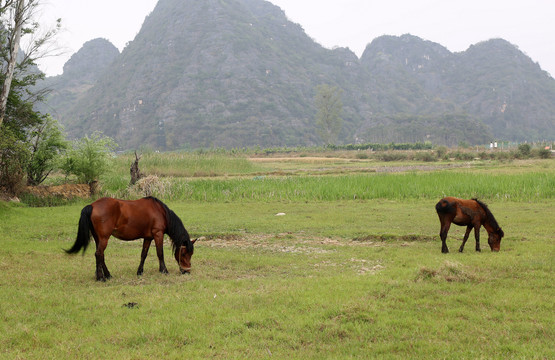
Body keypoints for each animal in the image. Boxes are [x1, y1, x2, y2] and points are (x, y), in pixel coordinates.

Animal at [66, 197, 197, 282]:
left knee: (101, 255)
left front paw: (139, 272)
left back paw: (107, 275)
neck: (161, 212)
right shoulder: (158, 234)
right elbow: (160, 253)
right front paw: (164, 271)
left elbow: (144, 254)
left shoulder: (148, 237)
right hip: (104, 238)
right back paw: (101, 278)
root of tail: (92, 206)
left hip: (98, 238)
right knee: (98, 254)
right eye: (184, 253)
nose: (187, 271)